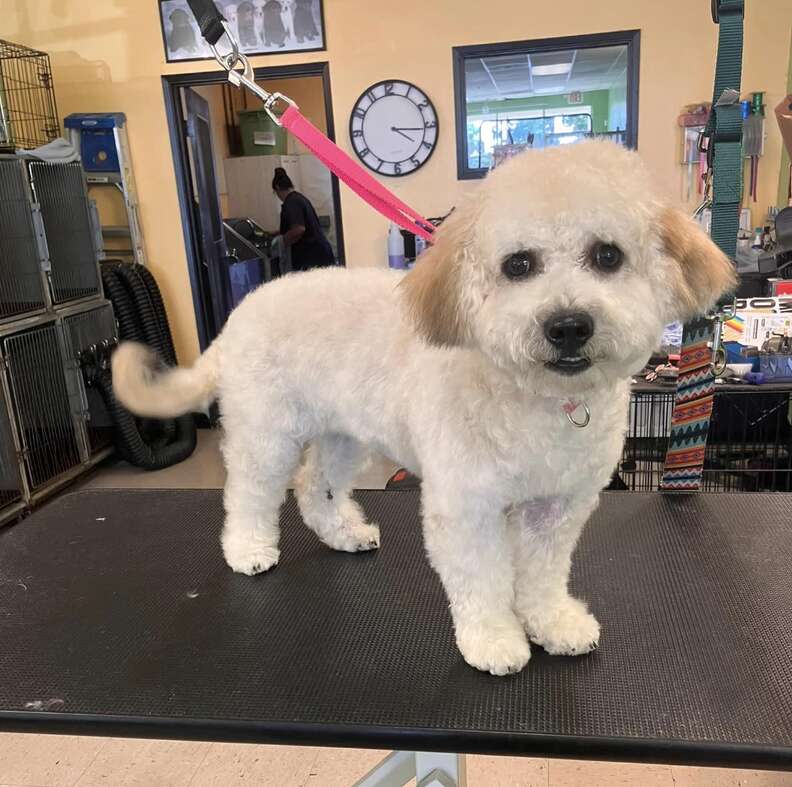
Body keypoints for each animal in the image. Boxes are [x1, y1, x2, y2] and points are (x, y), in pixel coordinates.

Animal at [113, 142, 736, 676]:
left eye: (607, 255)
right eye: (518, 264)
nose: (567, 325)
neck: (535, 401)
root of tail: (242, 312)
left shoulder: (557, 507)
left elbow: (542, 575)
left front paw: (552, 623)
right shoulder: (466, 506)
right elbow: (482, 578)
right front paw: (494, 640)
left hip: (345, 433)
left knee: (316, 484)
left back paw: (343, 532)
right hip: (266, 430)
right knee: (250, 490)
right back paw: (248, 548)